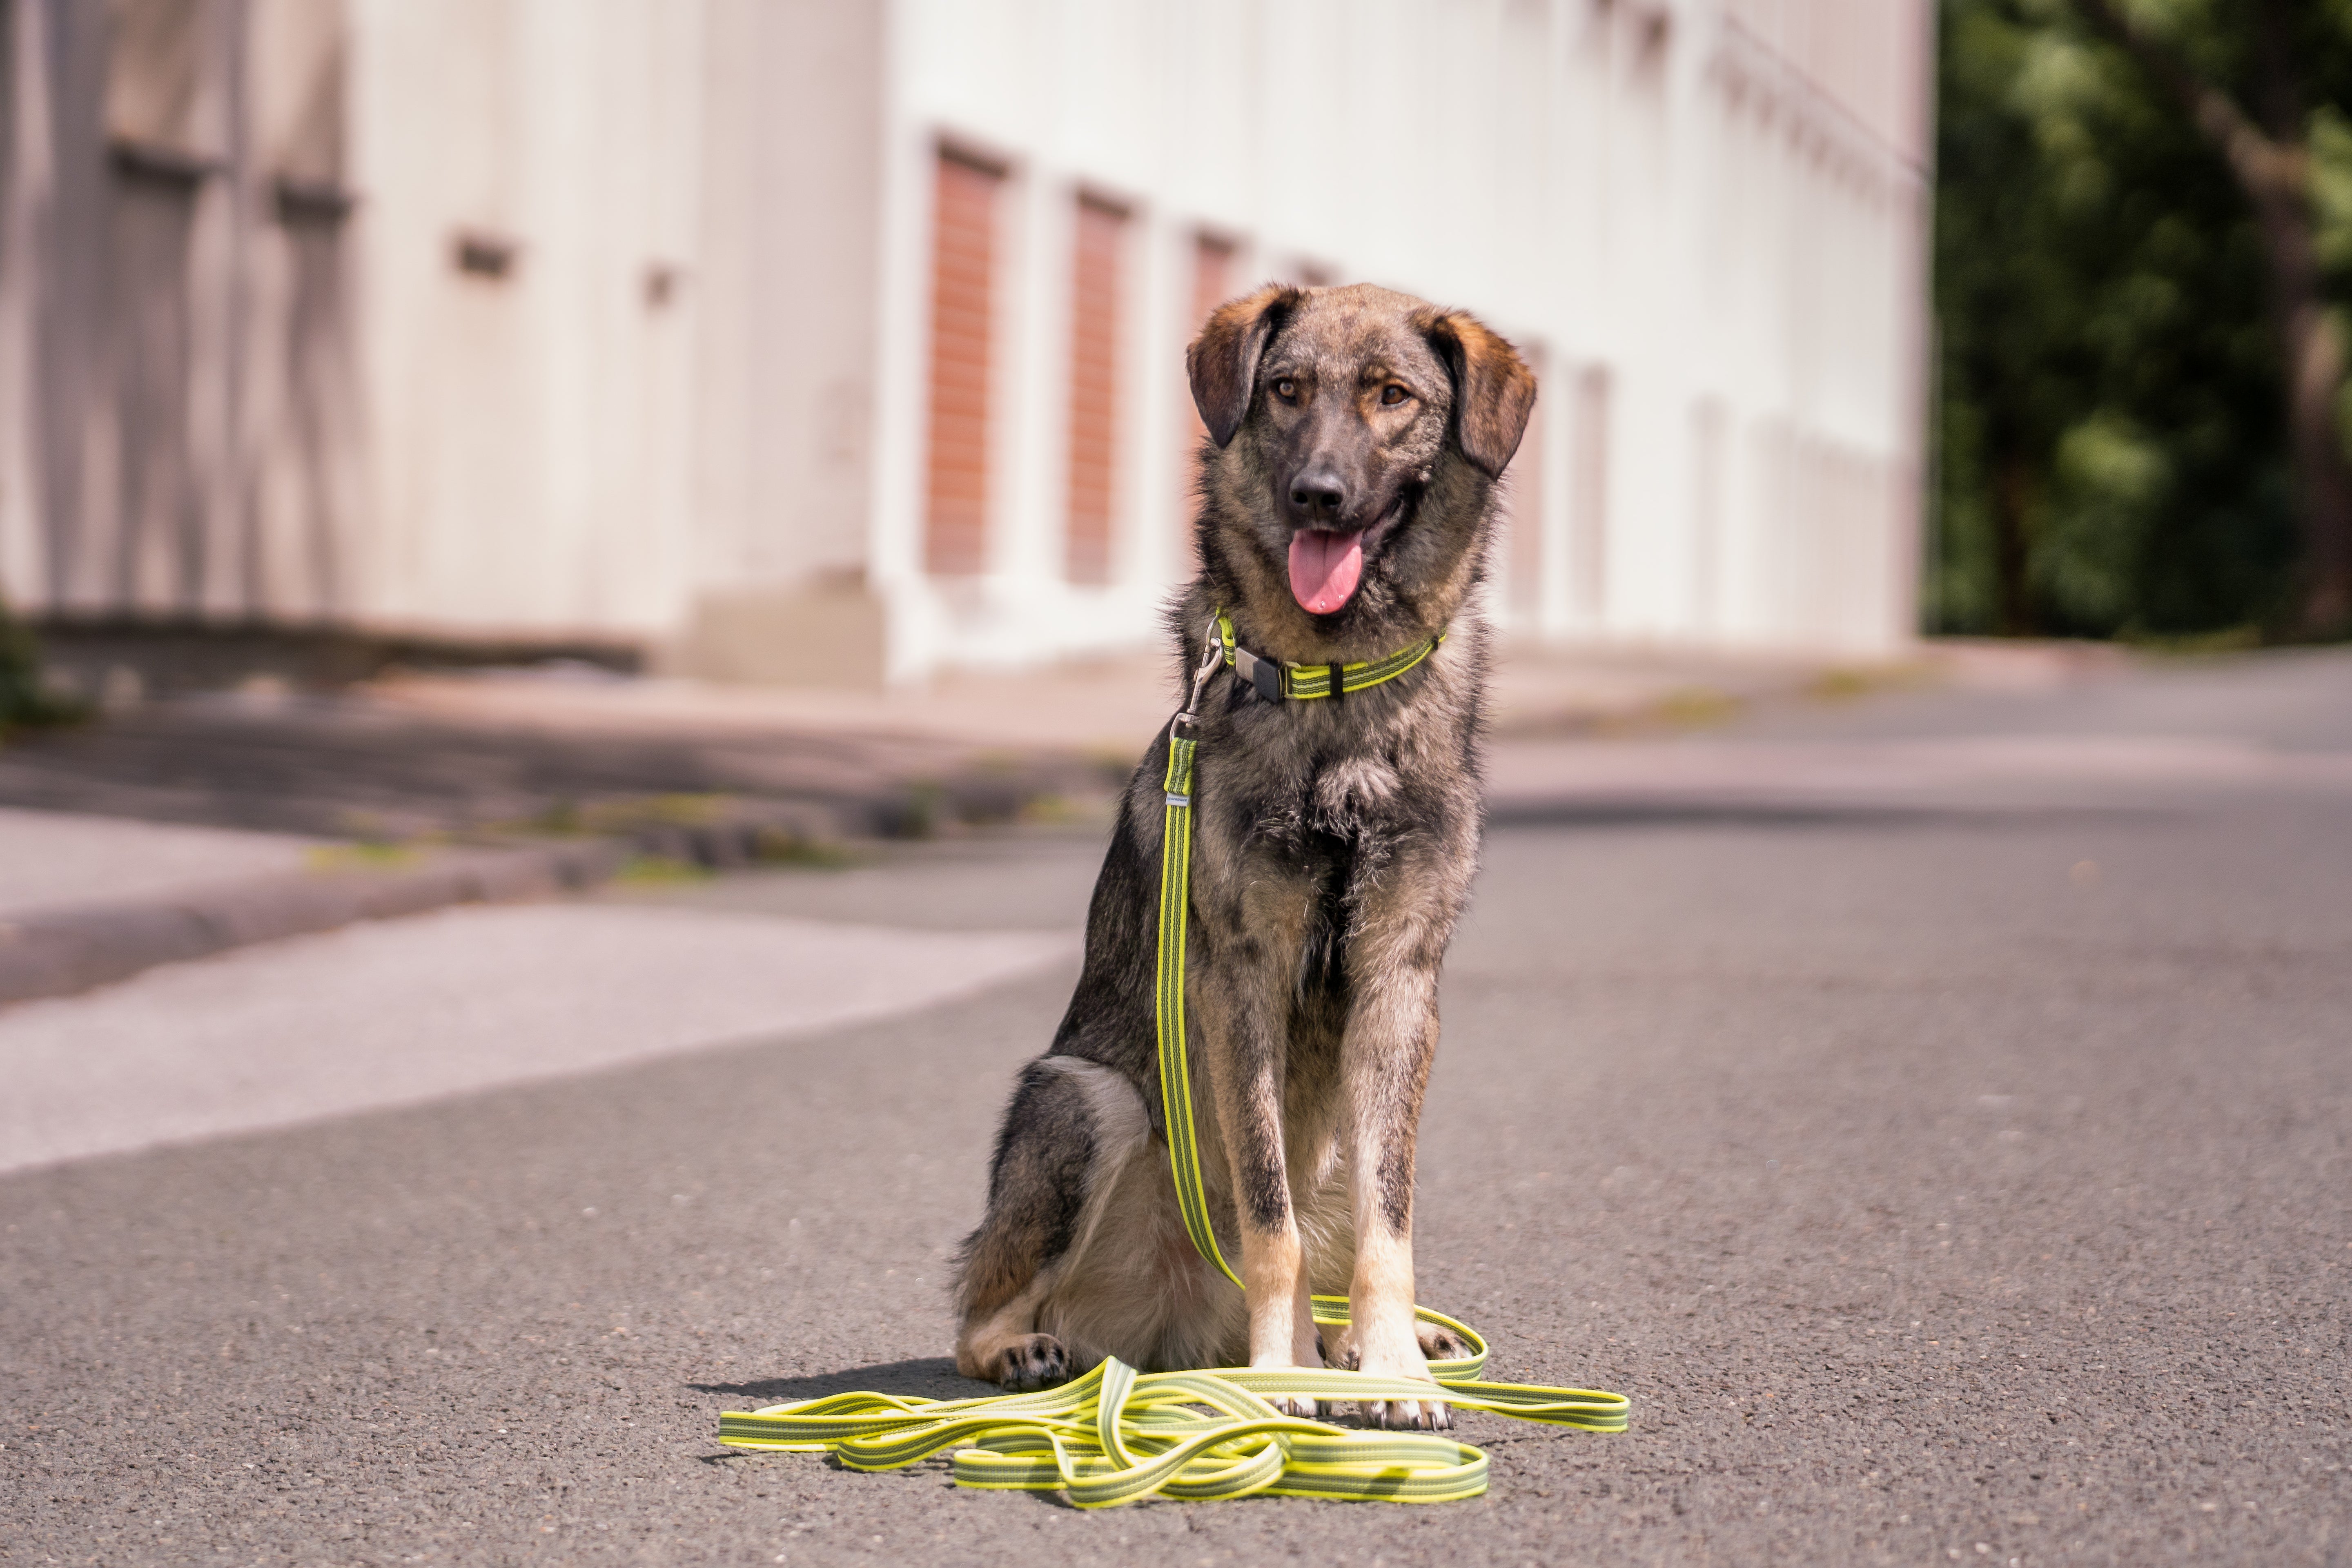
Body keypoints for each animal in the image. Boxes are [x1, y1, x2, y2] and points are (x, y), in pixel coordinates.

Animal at [945, 282, 1533, 1439]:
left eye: (1393, 396)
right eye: (1287, 390)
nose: (1317, 496)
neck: (1337, 692)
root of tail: (1177, 1336)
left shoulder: (1398, 985)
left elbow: (1388, 1224)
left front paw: (1393, 1366)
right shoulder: (1241, 983)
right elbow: (1270, 1220)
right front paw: (1283, 1377)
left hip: (1340, 1120)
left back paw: (1367, 1342)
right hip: (1087, 1098)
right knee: (979, 1303)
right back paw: (1036, 1349)